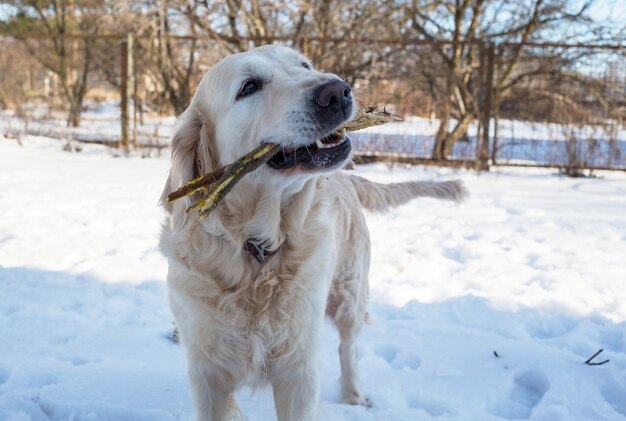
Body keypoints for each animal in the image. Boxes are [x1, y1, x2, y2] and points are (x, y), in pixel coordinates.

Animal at [160, 45, 464, 420]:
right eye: (249, 87)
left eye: (304, 66)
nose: (338, 92)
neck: (256, 252)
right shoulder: (208, 374)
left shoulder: (298, 365)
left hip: (349, 294)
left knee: (349, 348)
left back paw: (353, 396)